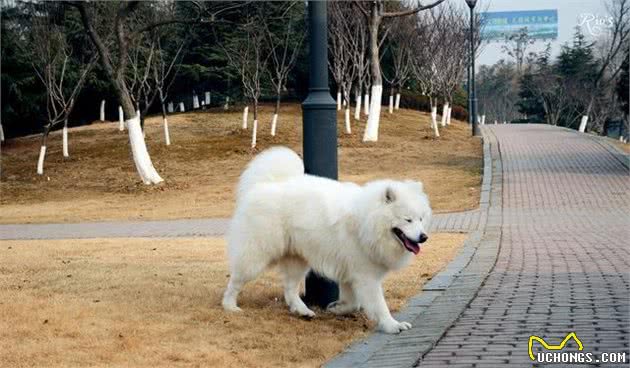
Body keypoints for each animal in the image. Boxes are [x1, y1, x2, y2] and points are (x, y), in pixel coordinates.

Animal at [223, 146, 434, 334]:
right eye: (407, 219)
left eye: (421, 218)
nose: (423, 237)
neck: (367, 221)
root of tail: (264, 185)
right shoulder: (366, 276)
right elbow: (379, 305)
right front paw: (392, 325)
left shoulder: (352, 273)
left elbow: (353, 303)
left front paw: (336, 308)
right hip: (256, 255)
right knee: (236, 280)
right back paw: (230, 306)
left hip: (298, 259)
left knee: (290, 288)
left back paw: (302, 311)